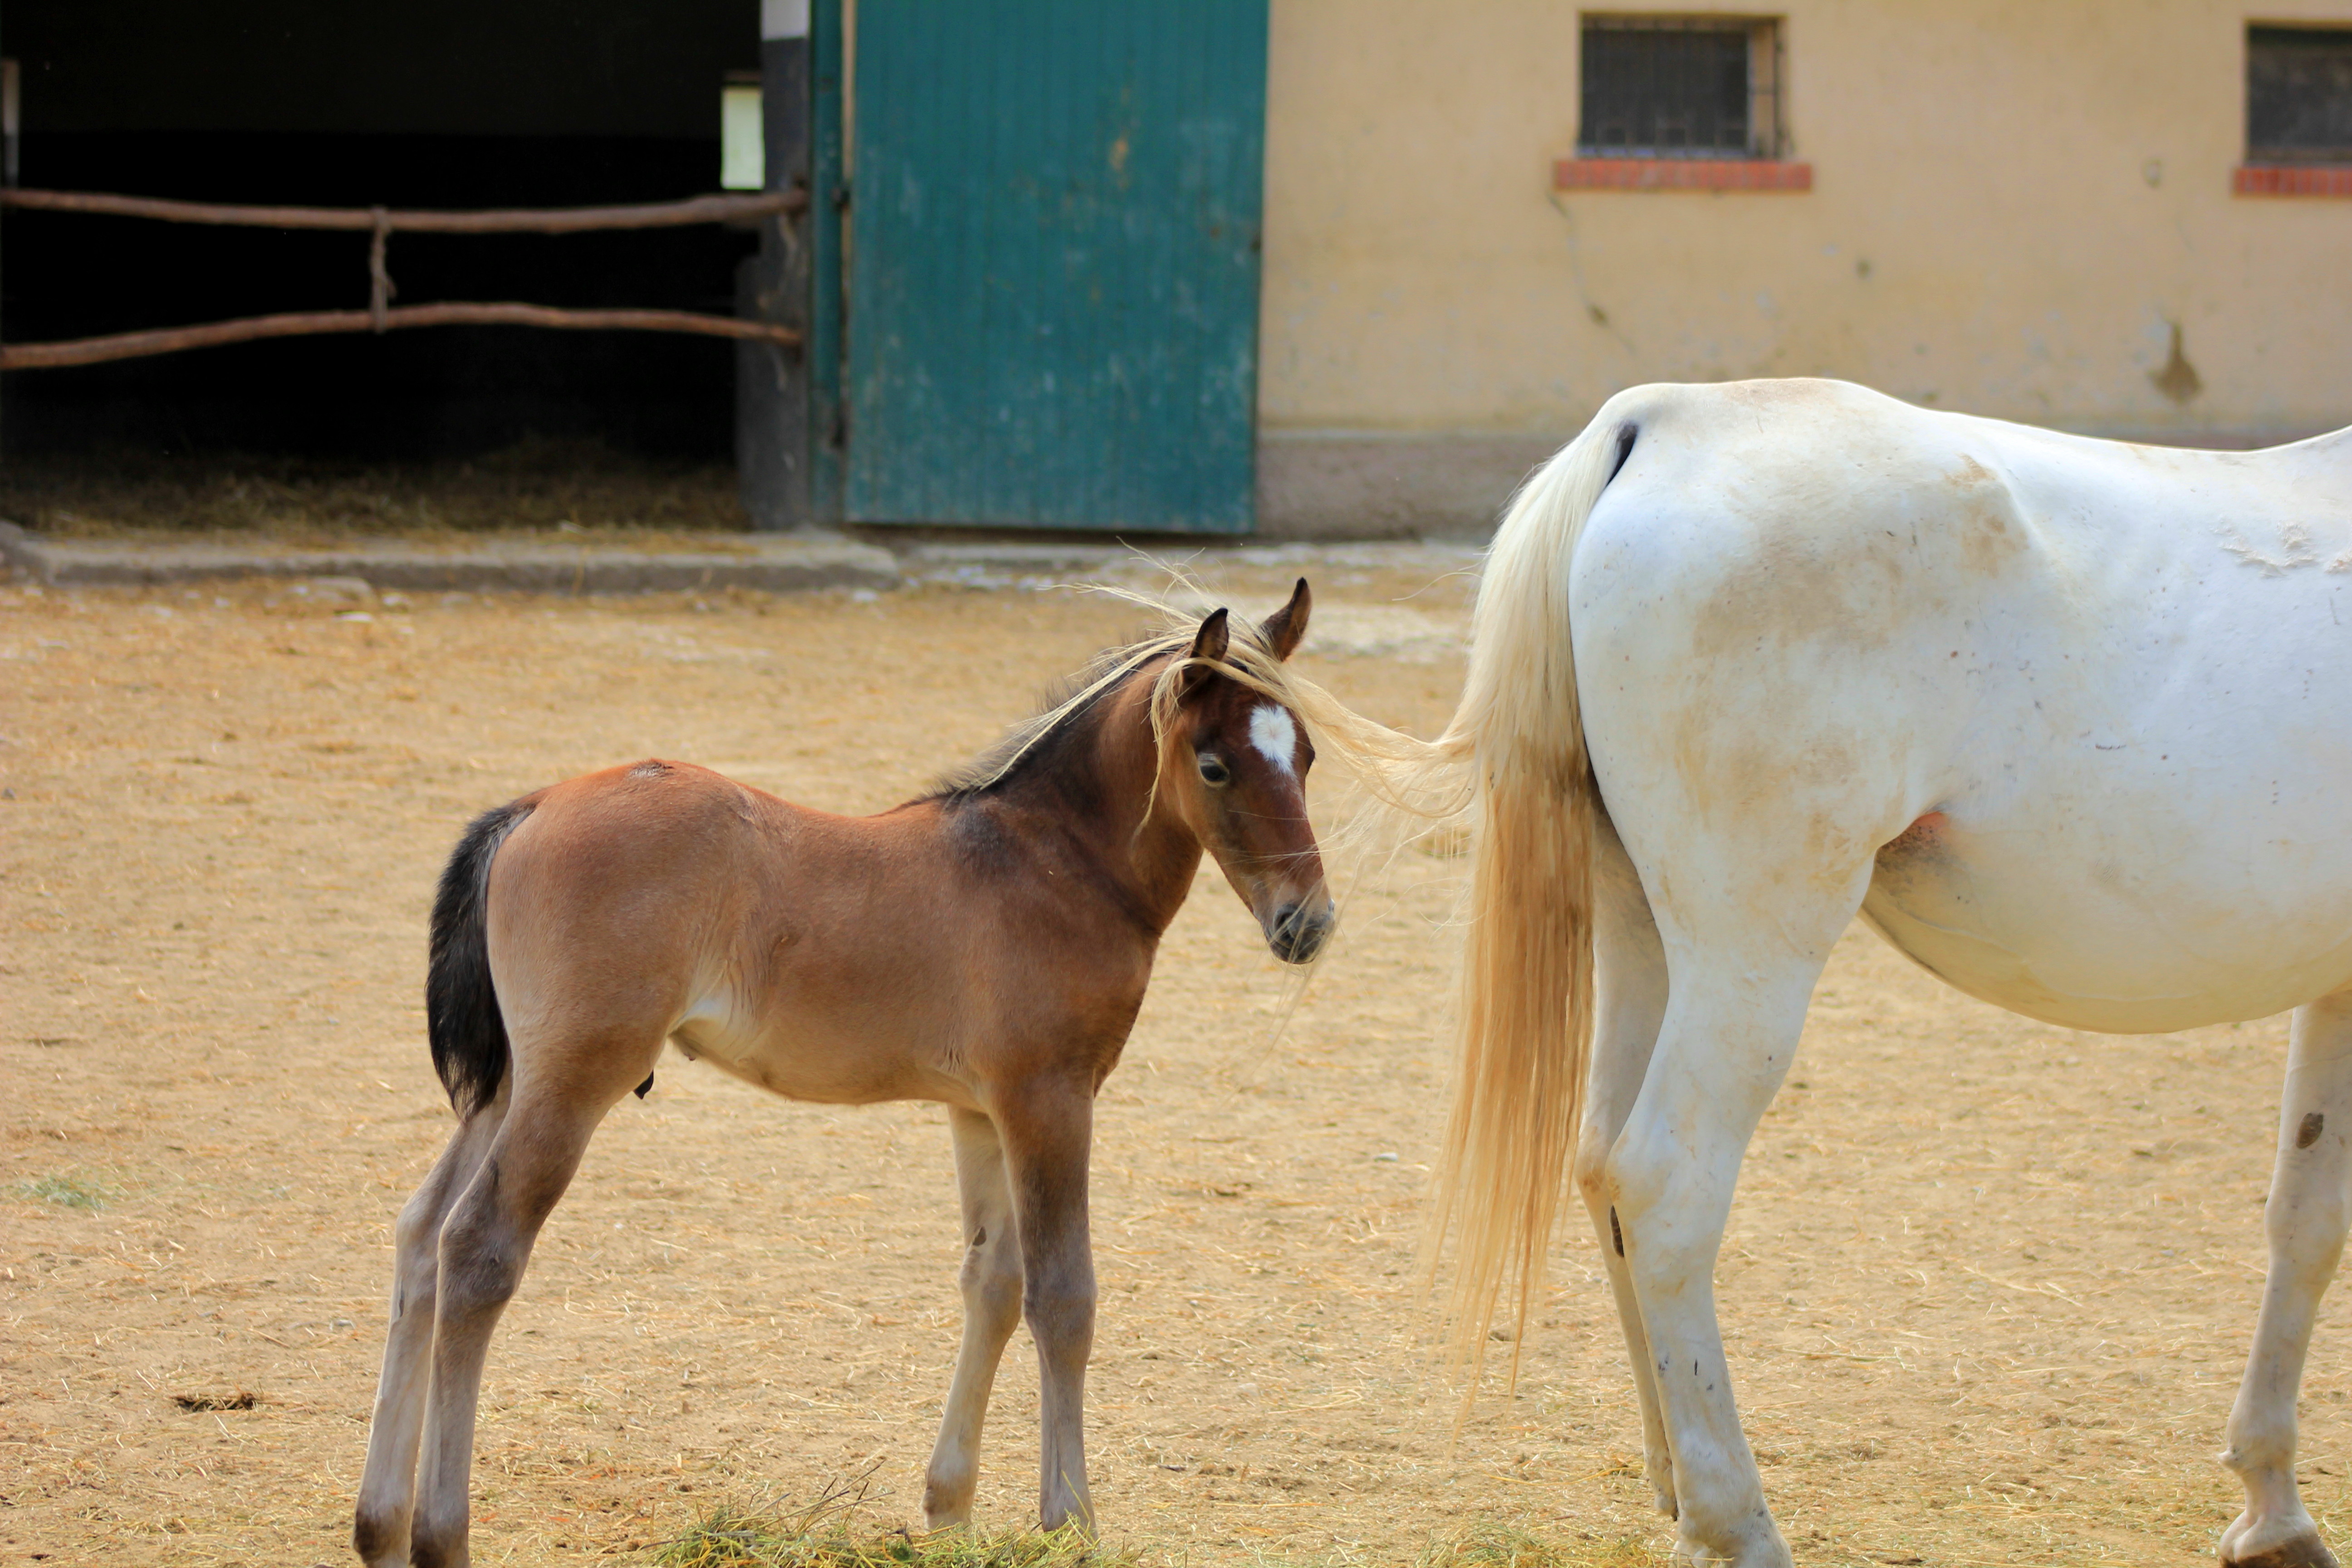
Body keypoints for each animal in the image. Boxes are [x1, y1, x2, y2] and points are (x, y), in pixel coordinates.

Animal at [355, 583, 1336, 1561]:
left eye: (1308, 755)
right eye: (1213, 766)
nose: (1309, 922)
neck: (1048, 863)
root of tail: (527, 807)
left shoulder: (979, 1110)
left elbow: (992, 1283)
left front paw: (949, 1507)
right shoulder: (1050, 1098)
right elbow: (1063, 1297)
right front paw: (1070, 1520)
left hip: (509, 1086)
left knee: (419, 1235)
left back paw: (379, 1525)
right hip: (572, 1081)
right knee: (476, 1248)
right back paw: (440, 1534)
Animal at [1411, 383, 2352, 1568]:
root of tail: (1659, 421)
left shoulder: (2334, 989)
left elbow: (2304, 1218)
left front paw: (2271, 1506)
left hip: (1643, 934)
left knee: (1599, 1165)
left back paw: (1675, 1488)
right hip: (1750, 962)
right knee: (1665, 1188)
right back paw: (1736, 1521)